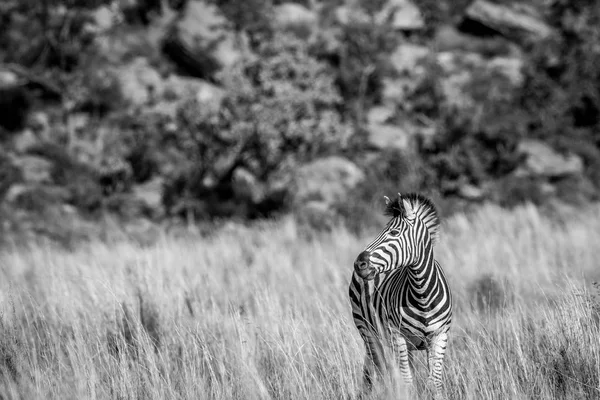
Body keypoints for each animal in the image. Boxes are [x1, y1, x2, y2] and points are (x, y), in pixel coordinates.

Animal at [350, 193, 452, 396]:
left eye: (394, 233)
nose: (359, 264)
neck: (423, 295)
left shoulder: (440, 336)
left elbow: (434, 383)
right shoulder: (398, 336)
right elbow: (407, 382)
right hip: (368, 332)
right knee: (380, 371)